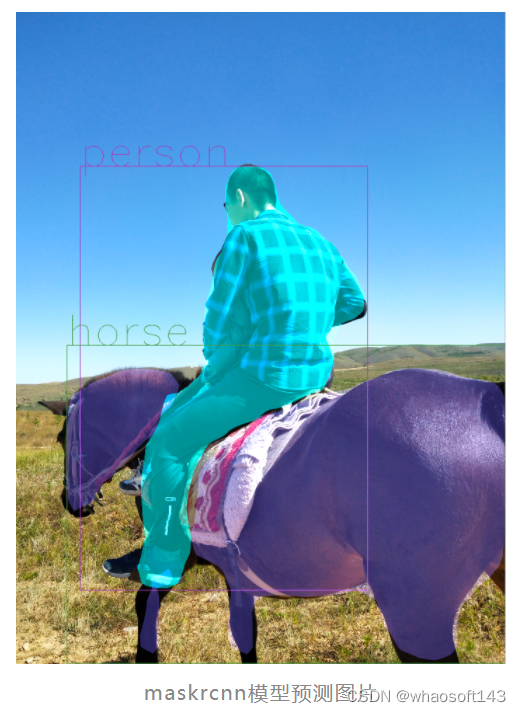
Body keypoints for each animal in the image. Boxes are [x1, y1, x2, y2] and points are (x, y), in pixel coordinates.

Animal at [41, 367, 505, 664]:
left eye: (64, 437)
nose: (71, 502)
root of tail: (490, 401)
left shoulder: (176, 554)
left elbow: (148, 602)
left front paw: (145, 658)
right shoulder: (228, 570)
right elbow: (244, 635)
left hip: (416, 610)